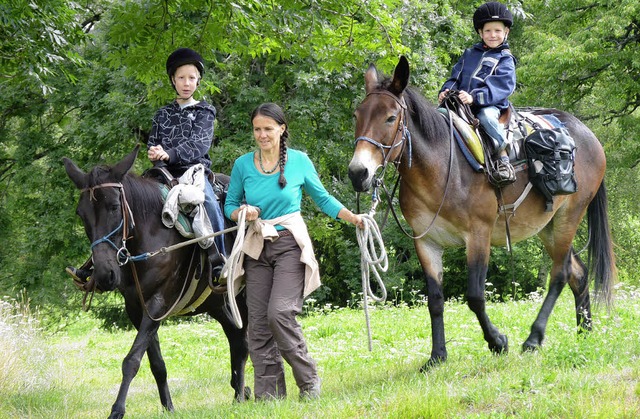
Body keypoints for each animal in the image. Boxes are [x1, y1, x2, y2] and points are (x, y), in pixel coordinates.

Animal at [62, 146, 248, 418]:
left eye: (114, 206)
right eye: (81, 213)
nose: (105, 274)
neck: (150, 235)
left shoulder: (159, 302)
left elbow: (131, 360)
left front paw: (117, 410)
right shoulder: (136, 307)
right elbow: (156, 363)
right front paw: (168, 407)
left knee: (244, 342)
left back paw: (245, 395)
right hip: (216, 303)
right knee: (236, 338)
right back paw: (240, 393)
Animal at [348, 56, 616, 370]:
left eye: (390, 118)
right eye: (357, 115)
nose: (358, 173)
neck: (443, 167)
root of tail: (588, 136)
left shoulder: (478, 235)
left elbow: (475, 297)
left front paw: (497, 342)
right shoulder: (426, 242)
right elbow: (435, 300)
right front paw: (437, 356)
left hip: (568, 218)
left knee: (560, 274)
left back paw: (534, 338)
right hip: (547, 228)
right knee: (578, 274)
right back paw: (585, 332)